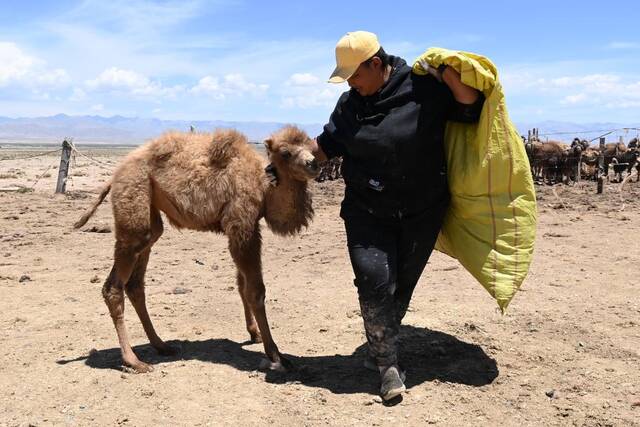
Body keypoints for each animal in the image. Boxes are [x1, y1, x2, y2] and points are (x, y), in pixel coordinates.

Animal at [75, 126, 320, 374]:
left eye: (312, 147)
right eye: (285, 152)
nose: (313, 164)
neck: (264, 188)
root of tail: (116, 174)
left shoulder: (243, 228)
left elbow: (241, 285)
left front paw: (255, 333)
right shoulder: (242, 225)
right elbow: (255, 291)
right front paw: (276, 355)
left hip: (149, 217)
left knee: (136, 281)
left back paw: (162, 345)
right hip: (134, 202)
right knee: (114, 287)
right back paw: (134, 361)